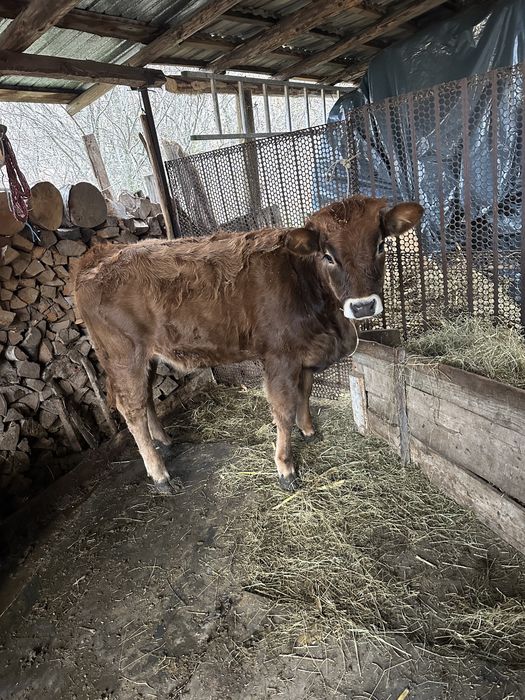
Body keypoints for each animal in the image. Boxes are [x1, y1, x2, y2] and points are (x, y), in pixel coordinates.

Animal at [74, 196, 423, 493]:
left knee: (146, 398)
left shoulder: (304, 352)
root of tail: (101, 256)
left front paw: (309, 431)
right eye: (328, 255)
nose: (363, 306)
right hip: (124, 356)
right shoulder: (280, 357)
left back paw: (166, 442)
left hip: (147, 357)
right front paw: (286, 467)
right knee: (131, 409)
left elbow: (305, 393)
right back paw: (160, 476)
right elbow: (284, 409)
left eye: (380, 244)